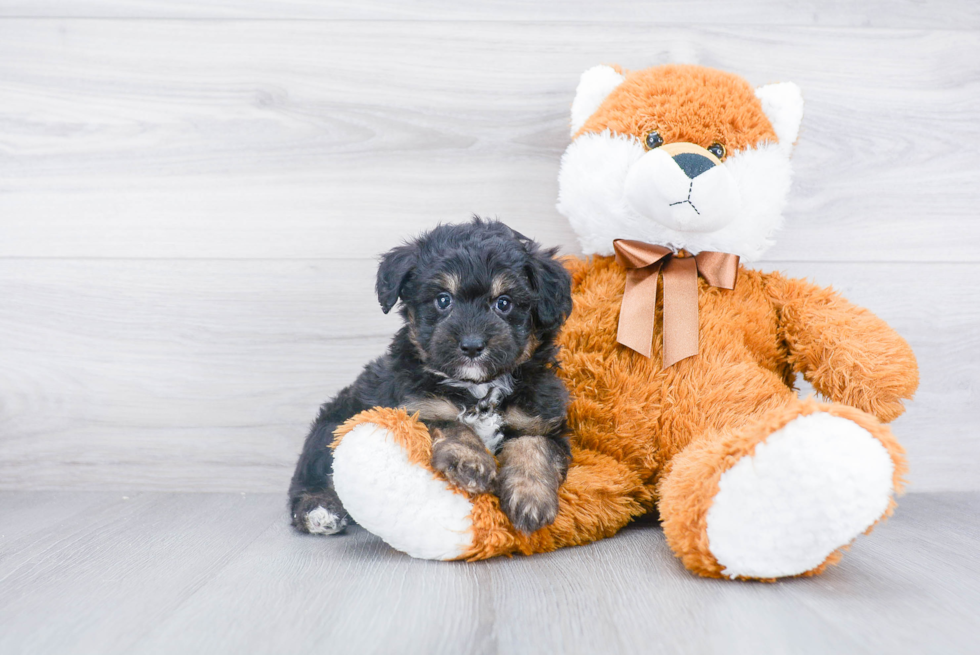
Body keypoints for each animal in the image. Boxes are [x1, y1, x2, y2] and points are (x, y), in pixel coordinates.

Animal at [288, 218, 576, 536]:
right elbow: (451, 424)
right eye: (443, 300)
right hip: (331, 425)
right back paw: (320, 510)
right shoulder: (416, 408)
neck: (479, 387)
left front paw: (531, 497)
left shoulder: (541, 419)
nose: (472, 345)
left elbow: (534, 446)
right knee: (311, 477)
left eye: (504, 303)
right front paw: (471, 462)